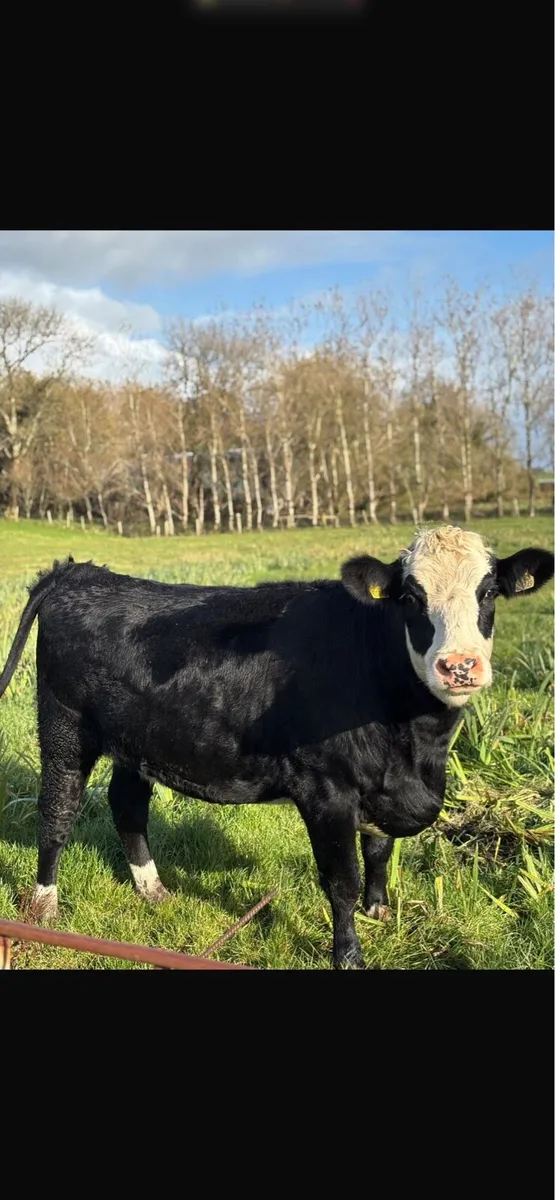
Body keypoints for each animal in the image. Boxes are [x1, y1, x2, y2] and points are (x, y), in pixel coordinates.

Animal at [0, 525, 552, 968]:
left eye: (488, 592)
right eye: (411, 598)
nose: (459, 666)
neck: (416, 753)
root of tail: (79, 572)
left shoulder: (379, 785)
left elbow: (378, 851)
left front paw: (379, 911)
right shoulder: (326, 790)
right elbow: (341, 880)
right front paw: (348, 955)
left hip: (137, 741)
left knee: (127, 806)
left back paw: (153, 891)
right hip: (65, 727)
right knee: (58, 811)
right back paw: (44, 906)